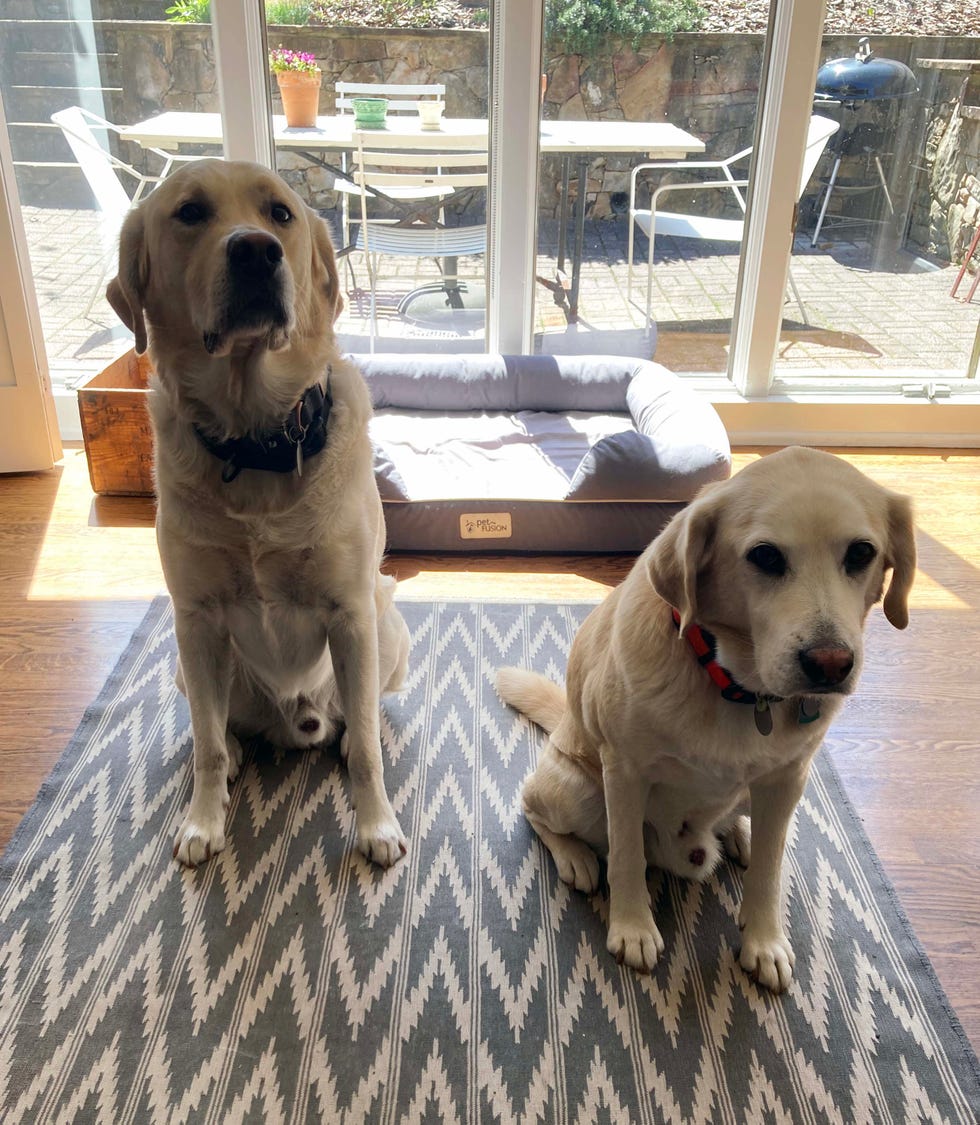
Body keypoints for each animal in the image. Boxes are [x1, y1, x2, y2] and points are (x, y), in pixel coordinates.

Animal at [108, 156, 409, 868]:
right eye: (189, 212)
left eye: (281, 214)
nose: (255, 251)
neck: (256, 444)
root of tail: (296, 719)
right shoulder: (194, 617)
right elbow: (206, 744)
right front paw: (203, 820)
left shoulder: (351, 613)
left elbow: (368, 749)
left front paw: (377, 825)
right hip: (186, 662)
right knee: (216, 725)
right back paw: (238, 749)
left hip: (386, 623)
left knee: (358, 717)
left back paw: (345, 734)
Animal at [497, 447, 918, 994]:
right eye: (765, 556)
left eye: (861, 553)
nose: (830, 665)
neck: (737, 686)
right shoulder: (624, 772)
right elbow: (627, 856)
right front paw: (632, 928)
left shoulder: (789, 777)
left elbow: (769, 871)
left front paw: (764, 940)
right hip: (578, 791)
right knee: (538, 811)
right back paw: (577, 857)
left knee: (749, 824)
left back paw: (740, 834)